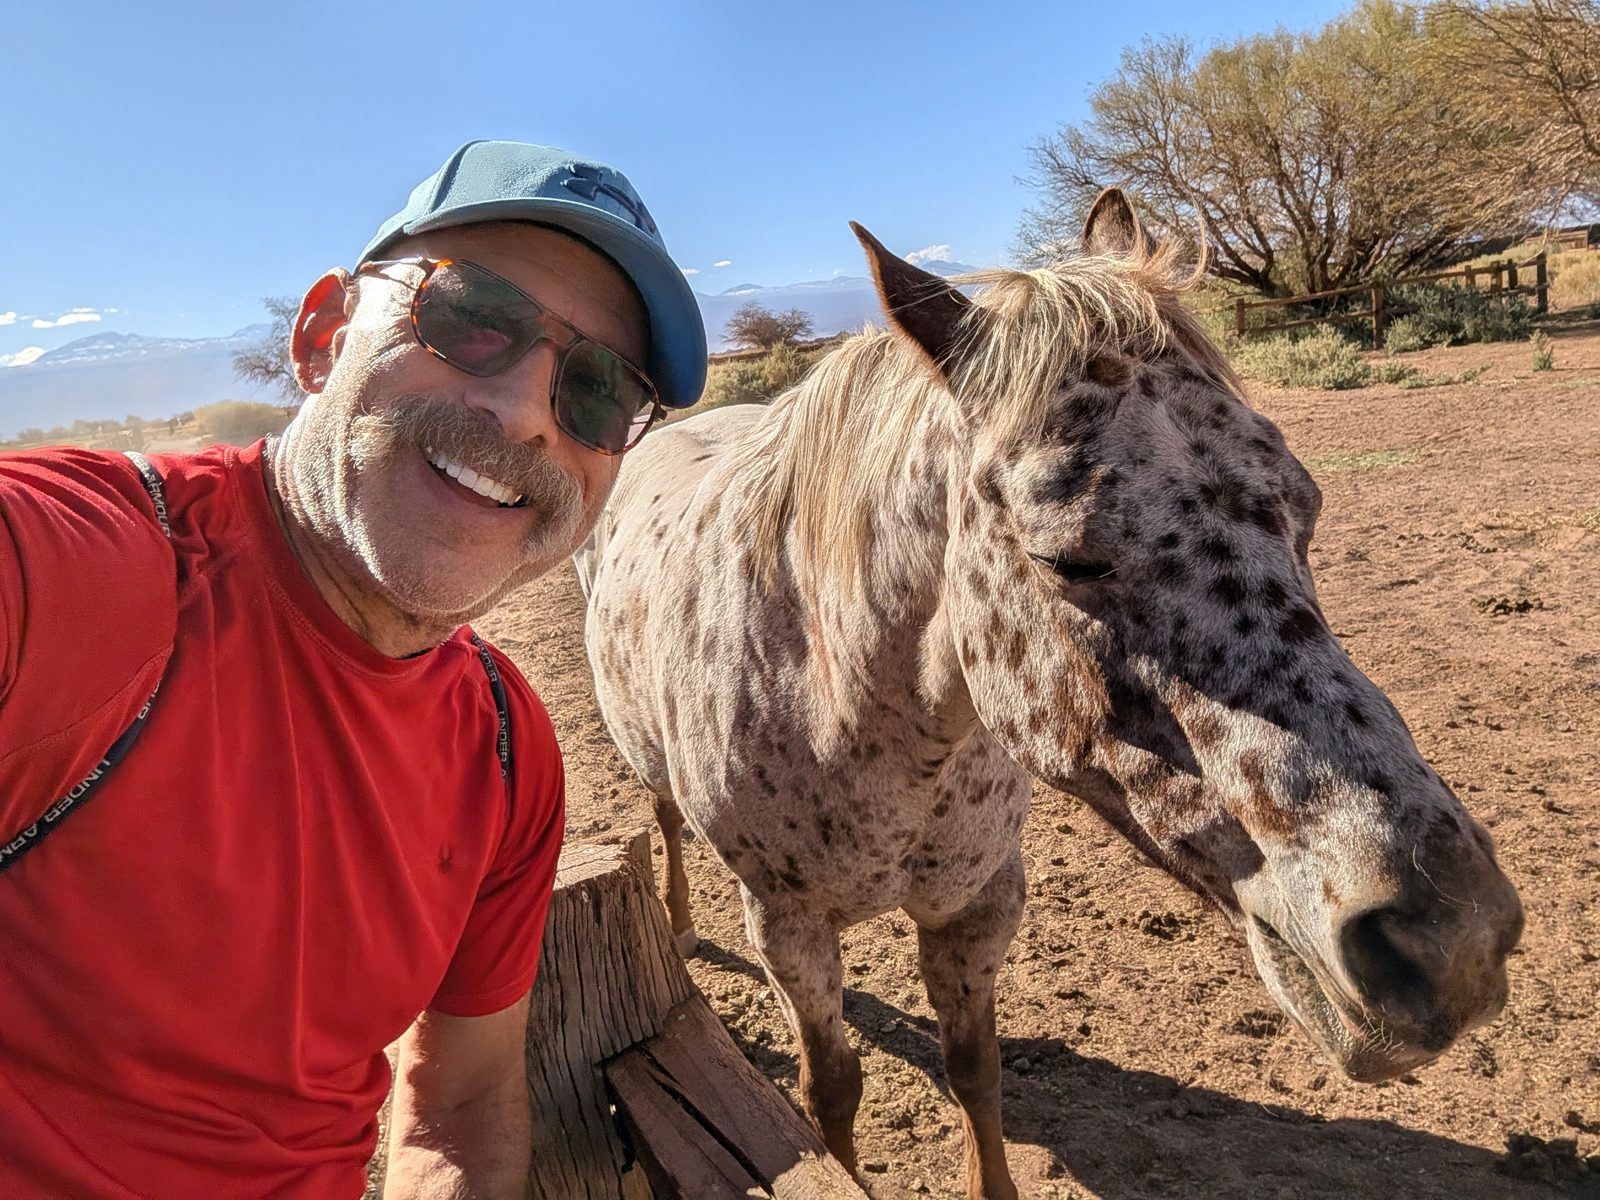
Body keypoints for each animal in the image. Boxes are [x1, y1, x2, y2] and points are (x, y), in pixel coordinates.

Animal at [574, 190, 1523, 1199]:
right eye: (1066, 558)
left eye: (1305, 508)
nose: (1451, 940)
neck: (856, 715)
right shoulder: (788, 927)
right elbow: (830, 1092)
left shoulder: (978, 904)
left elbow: (975, 1070)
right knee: (662, 818)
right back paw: (676, 928)